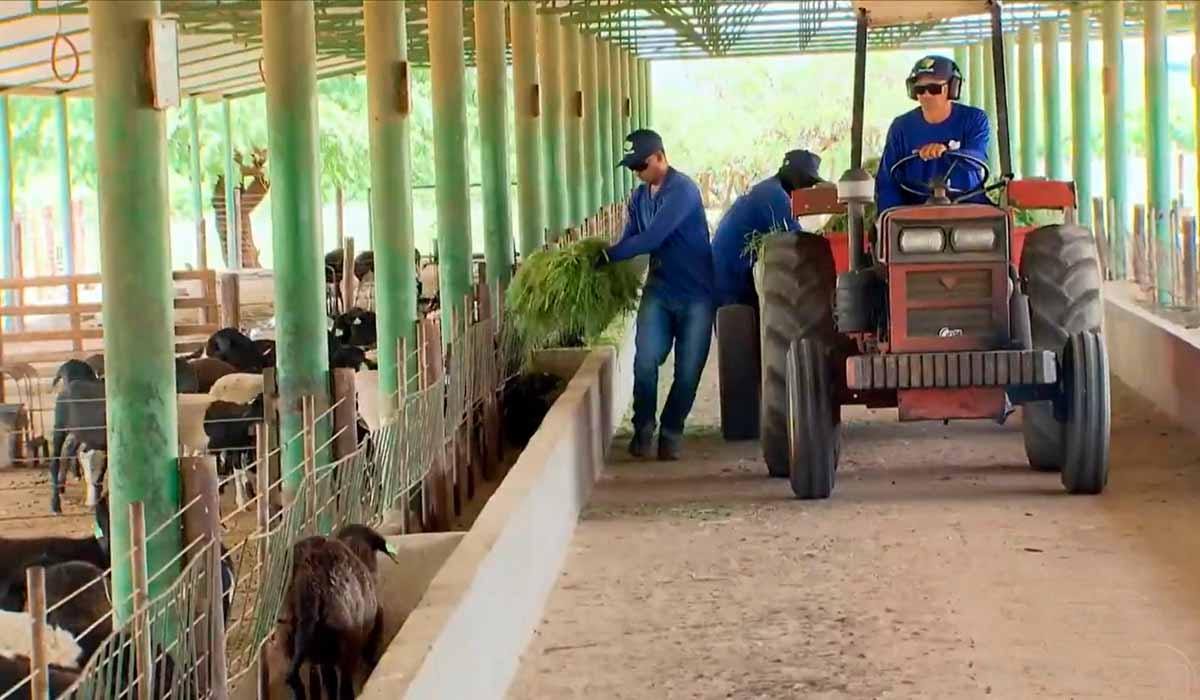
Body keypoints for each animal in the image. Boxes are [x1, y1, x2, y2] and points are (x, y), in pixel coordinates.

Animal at [274, 525, 393, 700]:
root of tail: (309, 580)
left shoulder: (323, 658)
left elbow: (327, 682)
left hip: (294, 642)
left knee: (300, 681)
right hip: (345, 643)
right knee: (344, 686)